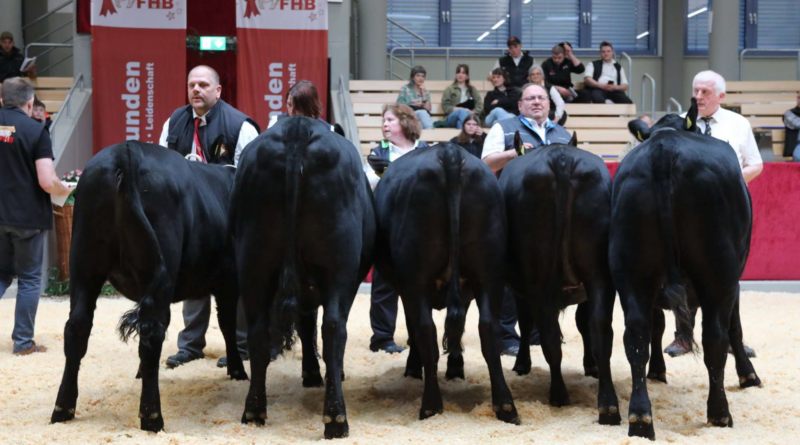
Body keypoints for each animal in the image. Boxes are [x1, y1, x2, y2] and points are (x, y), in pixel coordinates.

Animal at [50, 141, 245, 430]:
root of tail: (126, 150)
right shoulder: (229, 282)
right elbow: (228, 325)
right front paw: (237, 370)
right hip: (160, 264)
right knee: (152, 331)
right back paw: (152, 417)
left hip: (84, 263)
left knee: (77, 327)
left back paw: (63, 408)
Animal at [227, 116, 374, 438]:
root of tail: (298, 127)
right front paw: (322, 373)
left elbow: (306, 325)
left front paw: (310, 373)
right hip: (340, 264)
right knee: (334, 328)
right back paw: (336, 418)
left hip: (252, 260)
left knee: (258, 331)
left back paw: (254, 410)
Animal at [370, 141, 520, 424]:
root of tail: (449, 151)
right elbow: (459, 327)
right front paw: (456, 368)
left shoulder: (407, 289)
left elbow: (415, 327)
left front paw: (415, 367)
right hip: (490, 273)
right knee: (488, 329)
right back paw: (505, 406)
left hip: (416, 277)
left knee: (426, 330)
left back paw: (430, 405)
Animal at [500, 134, 620, 424]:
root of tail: (561, 157)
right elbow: (584, 324)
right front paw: (591, 365)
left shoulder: (521, 289)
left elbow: (526, 322)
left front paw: (522, 363)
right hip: (598, 275)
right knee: (601, 330)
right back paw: (608, 405)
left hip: (541, 277)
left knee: (550, 338)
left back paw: (558, 394)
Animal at [612, 99, 764, 438]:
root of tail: (664, 147)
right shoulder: (734, 279)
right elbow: (735, 327)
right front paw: (748, 376)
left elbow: (656, 325)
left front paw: (658, 371)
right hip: (718, 270)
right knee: (715, 337)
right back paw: (720, 413)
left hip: (632, 270)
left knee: (636, 335)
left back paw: (641, 418)